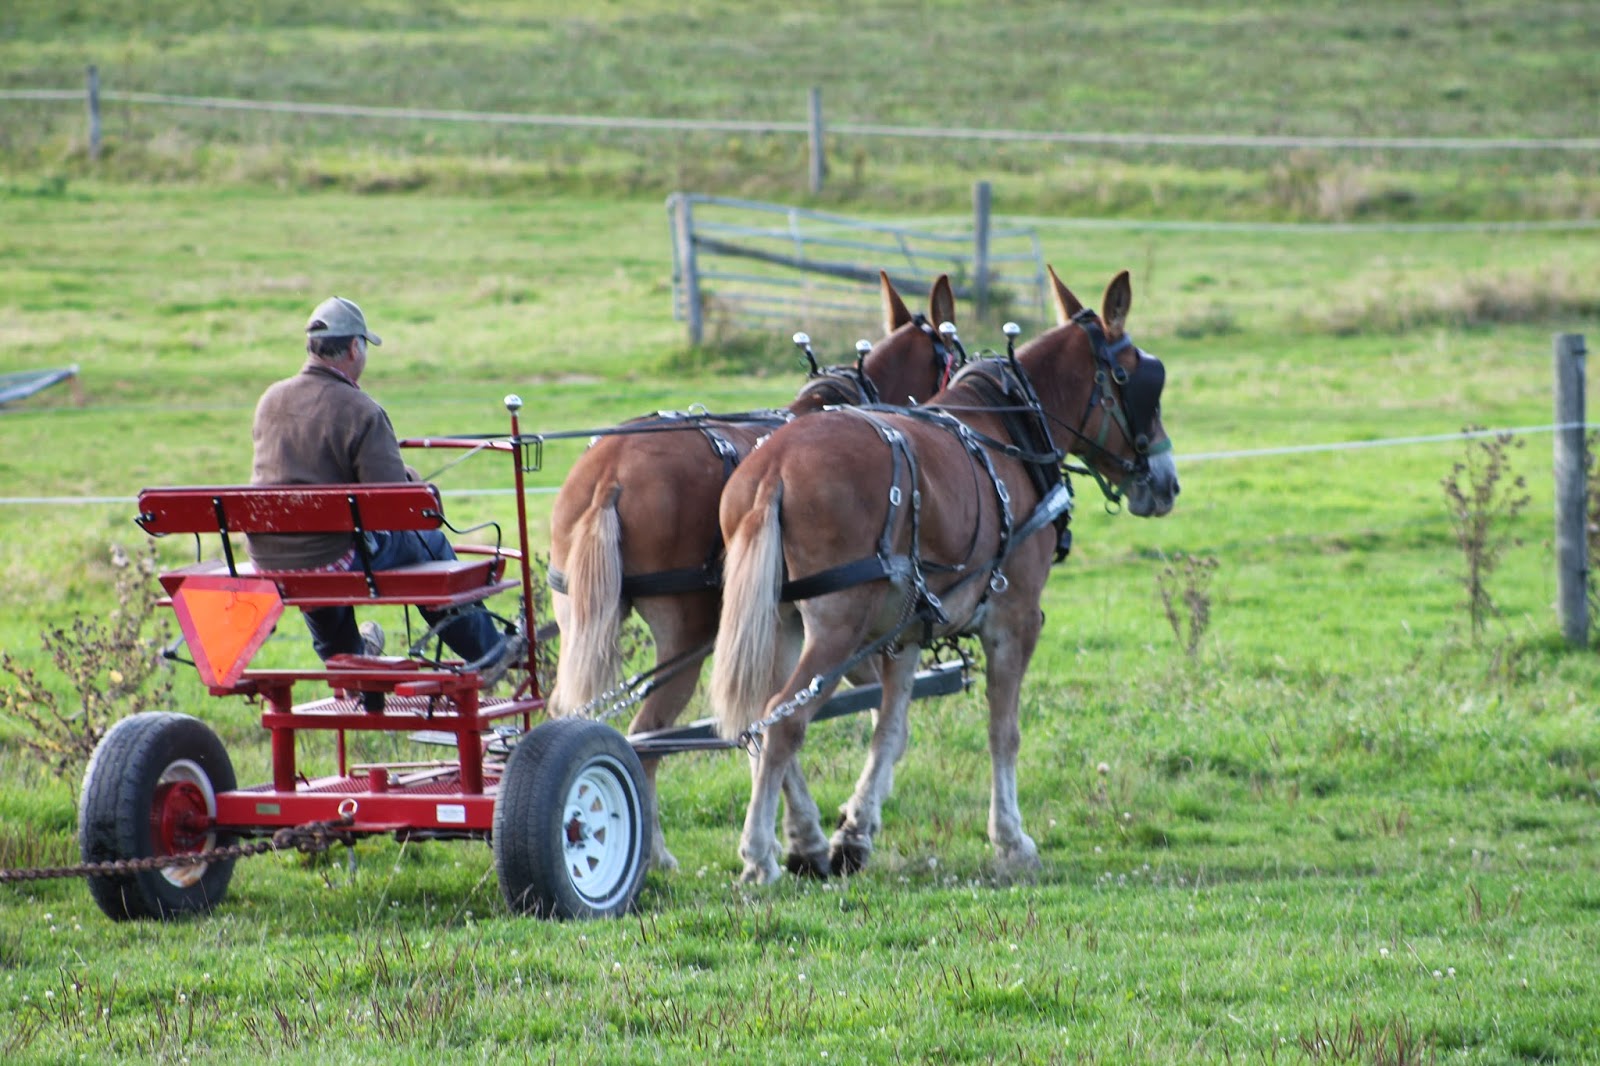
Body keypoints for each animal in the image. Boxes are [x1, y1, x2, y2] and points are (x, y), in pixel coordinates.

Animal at [548, 272, 959, 871]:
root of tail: (610, 475)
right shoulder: (840, 627)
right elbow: (862, 718)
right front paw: (826, 830)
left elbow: (762, 727)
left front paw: (803, 831)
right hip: (685, 635)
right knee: (646, 735)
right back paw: (654, 853)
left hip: (583, 622)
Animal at [709, 267, 1179, 884]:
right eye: (1140, 380)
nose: (1168, 482)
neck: (1011, 437)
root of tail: (774, 468)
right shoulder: (1015, 620)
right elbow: (1004, 732)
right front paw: (1011, 839)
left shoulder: (904, 634)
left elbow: (890, 732)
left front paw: (854, 833)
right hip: (834, 631)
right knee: (781, 722)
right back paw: (759, 855)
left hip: (779, 623)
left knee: (754, 723)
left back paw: (798, 841)